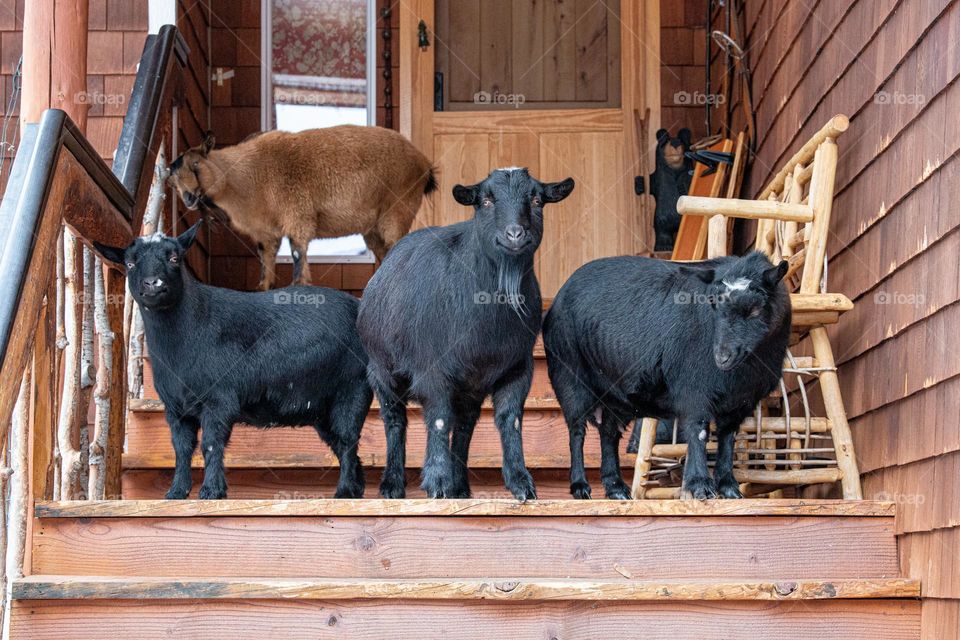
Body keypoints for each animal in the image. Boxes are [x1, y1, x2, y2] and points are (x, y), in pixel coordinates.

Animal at [95, 221, 372, 499]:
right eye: (130, 263)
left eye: (174, 258)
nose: (153, 284)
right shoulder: (175, 408)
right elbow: (182, 448)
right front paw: (177, 492)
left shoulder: (219, 398)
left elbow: (211, 444)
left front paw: (211, 491)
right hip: (321, 407)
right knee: (340, 442)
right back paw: (355, 489)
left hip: (352, 386)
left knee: (348, 439)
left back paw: (344, 491)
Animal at [168, 126, 436, 290]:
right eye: (172, 181)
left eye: (195, 164)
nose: (189, 198)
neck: (248, 176)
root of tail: (424, 164)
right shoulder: (267, 233)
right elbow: (266, 262)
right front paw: (263, 288)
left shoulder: (297, 213)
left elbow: (298, 252)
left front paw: (299, 285)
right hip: (374, 226)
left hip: (398, 207)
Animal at [357, 168, 575, 500]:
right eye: (485, 201)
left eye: (537, 200)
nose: (515, 234)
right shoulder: (432, 369)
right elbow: (438, 418)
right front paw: (437, 482)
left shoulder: (517, 369)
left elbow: (510, 419)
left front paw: (521, 482)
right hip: (381, 370)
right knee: (395, 421)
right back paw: (392, 485)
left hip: (469, 386)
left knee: (464, 427)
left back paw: (460, 486)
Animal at [543, 251, 790, 500]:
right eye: (713, 306)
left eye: (756, 309)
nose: (722, 357)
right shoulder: (693, 388)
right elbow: (698, 431)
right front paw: (700, 485)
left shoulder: (740, 401)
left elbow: (727, 438)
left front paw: (728, 486)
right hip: (569, 374)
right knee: (576, 430)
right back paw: (580, 486)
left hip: (613, 393)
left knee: (609, 433)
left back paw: (616, 488)